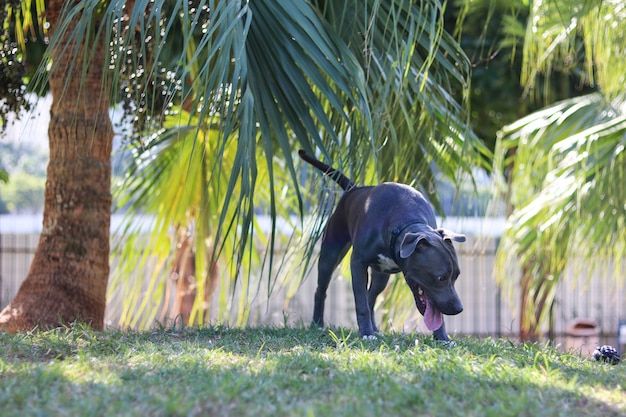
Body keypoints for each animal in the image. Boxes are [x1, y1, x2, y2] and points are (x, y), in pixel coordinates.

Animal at [298, 148, 464, 340]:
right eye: (441, 277)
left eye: (456, 276)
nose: (459, 309)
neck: (405, 225)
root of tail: (354, 189)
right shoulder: (358, 263)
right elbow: (360, 302)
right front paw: (366, 334)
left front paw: (442, 338)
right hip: (330, 256)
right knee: (322, 290)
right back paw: (317, 324)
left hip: (381, 276)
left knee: (371, 297)